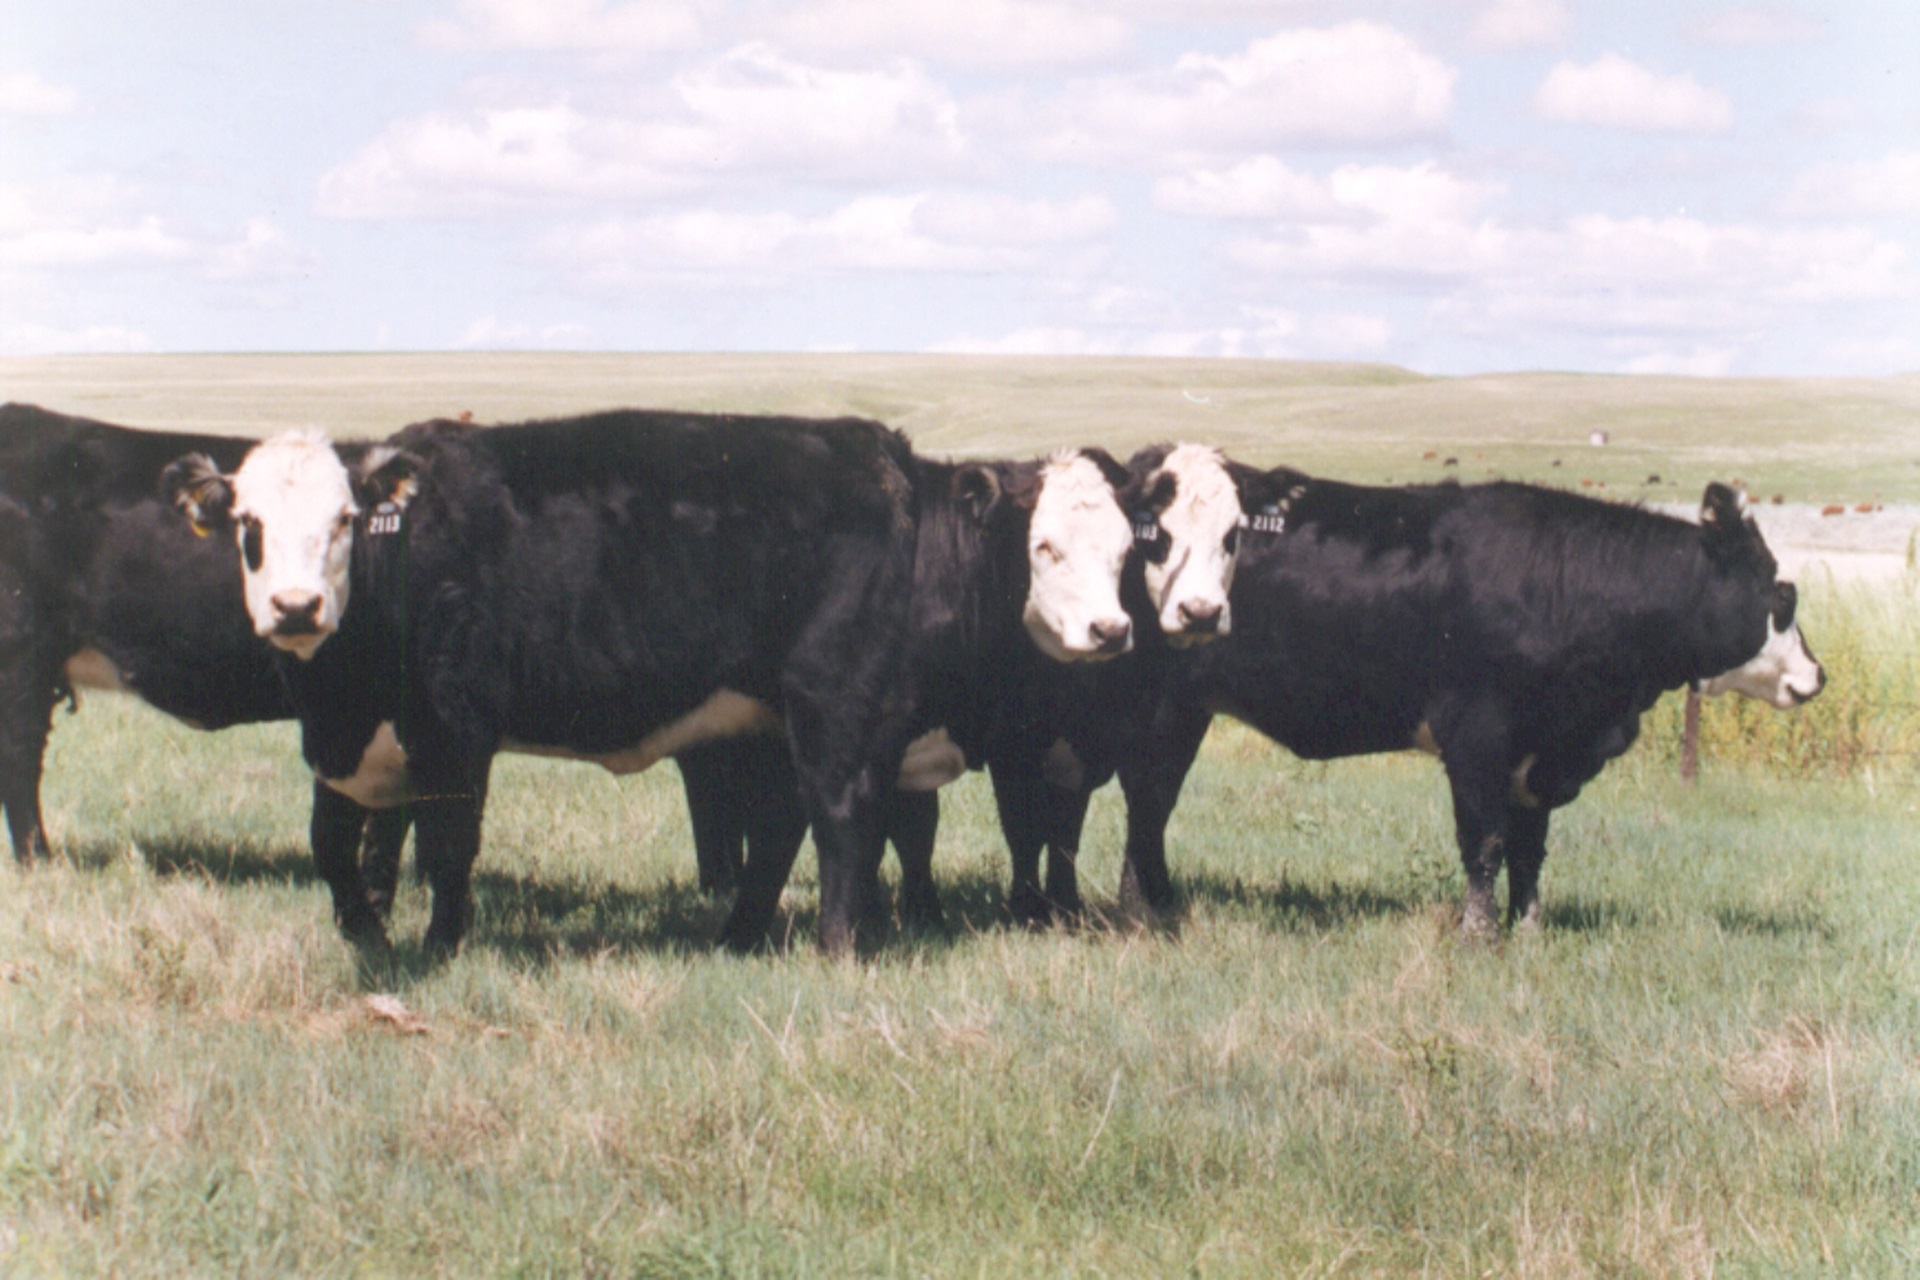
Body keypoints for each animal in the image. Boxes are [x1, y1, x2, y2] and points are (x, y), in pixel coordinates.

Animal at [0, 403, 408, 891]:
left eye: (345, 518)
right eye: (250, 522)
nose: (296, 606)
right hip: (21, 657)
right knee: (20, 758)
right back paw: (38, 862)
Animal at [163, 411, 1143, 957]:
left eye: (342, 520)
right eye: (249, 525)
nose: (295, 606)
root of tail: (880, 456)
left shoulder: (455, 730)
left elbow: (445, 849)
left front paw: (440, 948)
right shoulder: (342, 747)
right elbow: (336, 847)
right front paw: (366, 933)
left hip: (831, 702)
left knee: (841, 816)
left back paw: (835, 945)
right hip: (770, 717)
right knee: (787, 827)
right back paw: (740, 937)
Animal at [1104, 475, 1825, 937]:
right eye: (1781, 594)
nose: (1816, 677)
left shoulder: (1537, 757)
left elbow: (1531, 849)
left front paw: (1528, 930)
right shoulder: (1478, 736)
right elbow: (1485, 842)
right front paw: (1479, 935)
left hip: (1184, 713)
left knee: (1152, 805)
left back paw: (1151, 906)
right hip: (1162, 710)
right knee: (1148, 803)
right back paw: (1144, 912)